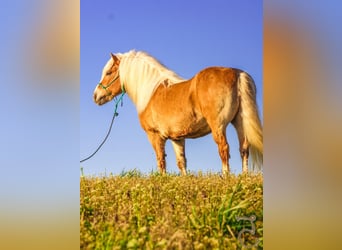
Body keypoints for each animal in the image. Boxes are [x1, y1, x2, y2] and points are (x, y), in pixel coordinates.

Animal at [92, 49, 264, 176]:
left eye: (108, 73)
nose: (95, 96)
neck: (151, 91)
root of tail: (238, 73)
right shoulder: (177, 138)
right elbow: (181, 162)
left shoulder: (154, 136)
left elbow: (161, 160)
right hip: (239, 122)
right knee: (244, 148)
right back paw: (244, 177)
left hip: (218, 126)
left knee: (224, 149)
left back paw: (226, 177)